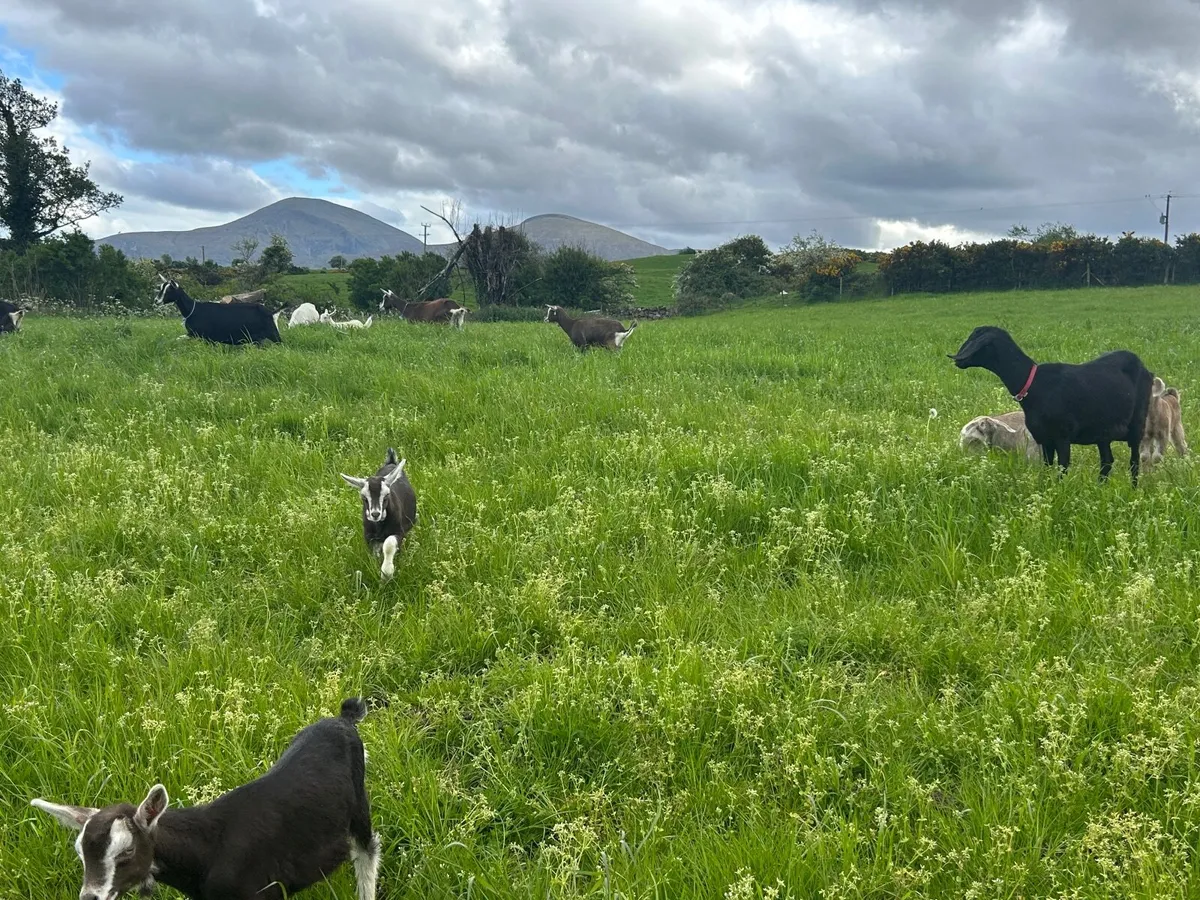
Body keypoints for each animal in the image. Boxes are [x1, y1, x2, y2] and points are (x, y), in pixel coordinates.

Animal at [31, 697, 380, 900]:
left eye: (126, 851)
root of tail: (343, 719)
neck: (207, 850)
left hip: (359, 808)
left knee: (368, 851)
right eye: (80, 853)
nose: (91, 897)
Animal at [340, 448, 417, 580]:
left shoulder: (398, 532)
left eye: (386, 495)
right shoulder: (369, 536)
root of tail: (390, 462)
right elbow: (375, 553)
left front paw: (386, 574)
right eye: (364, 497)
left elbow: (389, 544)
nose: (375, 514)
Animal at [950, 325, 1153, 484]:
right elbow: (1047, 468)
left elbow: (1062, 469)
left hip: (1137, 424)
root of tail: (1144, 367)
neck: (1034, 384)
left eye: (977, 342)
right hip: (1103, 431)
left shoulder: (1062, 437)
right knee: (1107, 461)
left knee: (1134, 462)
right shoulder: (1044, 438)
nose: (958, 360)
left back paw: (1133, 489)